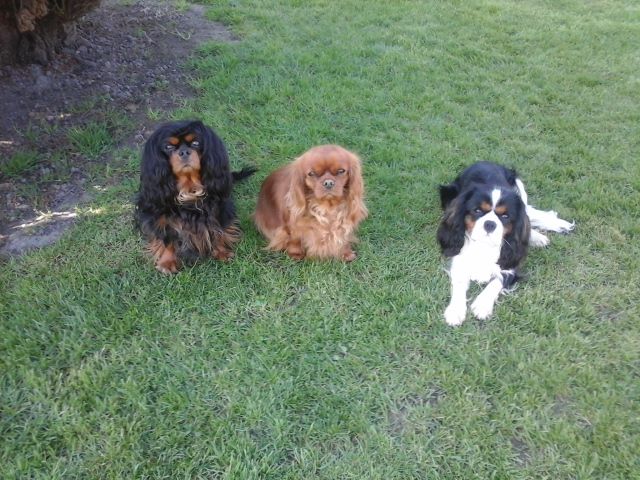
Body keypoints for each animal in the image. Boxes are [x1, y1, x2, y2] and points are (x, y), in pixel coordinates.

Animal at [135, 120, 255, 273]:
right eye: (168, 147)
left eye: (195, 143)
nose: (184, 152)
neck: (189, 189)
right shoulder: (159, 216)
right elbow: (166, 238)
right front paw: (167, 262)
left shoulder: (219, 209)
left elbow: (219, 230)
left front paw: (222, 252)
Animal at [437, 161, 574, 326]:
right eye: (477, 211)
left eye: (505, 216)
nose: (490, 224)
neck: (485, 246)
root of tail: (485, 161)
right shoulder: (460, 259)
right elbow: (459, 284)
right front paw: (455, 311)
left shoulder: (511, 264)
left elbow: (497, 281)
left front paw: (482, 305)